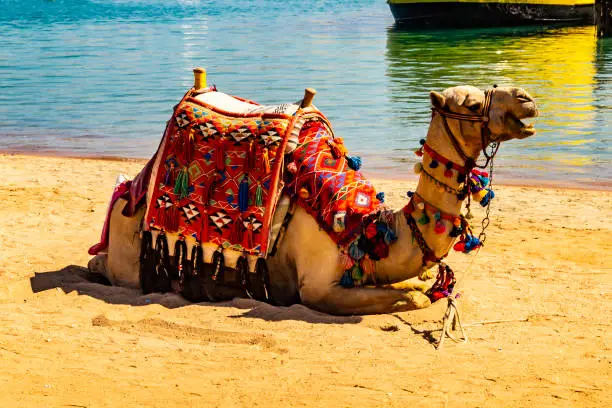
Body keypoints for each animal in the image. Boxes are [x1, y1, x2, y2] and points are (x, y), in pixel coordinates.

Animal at [88, 80, 536, 316]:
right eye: (473, 103)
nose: (527, 100)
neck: (364, 229)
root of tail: (130, 189)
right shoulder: (318, 289)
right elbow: (415, 297)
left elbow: (422, 284)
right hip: (130, 256)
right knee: (103, 264)